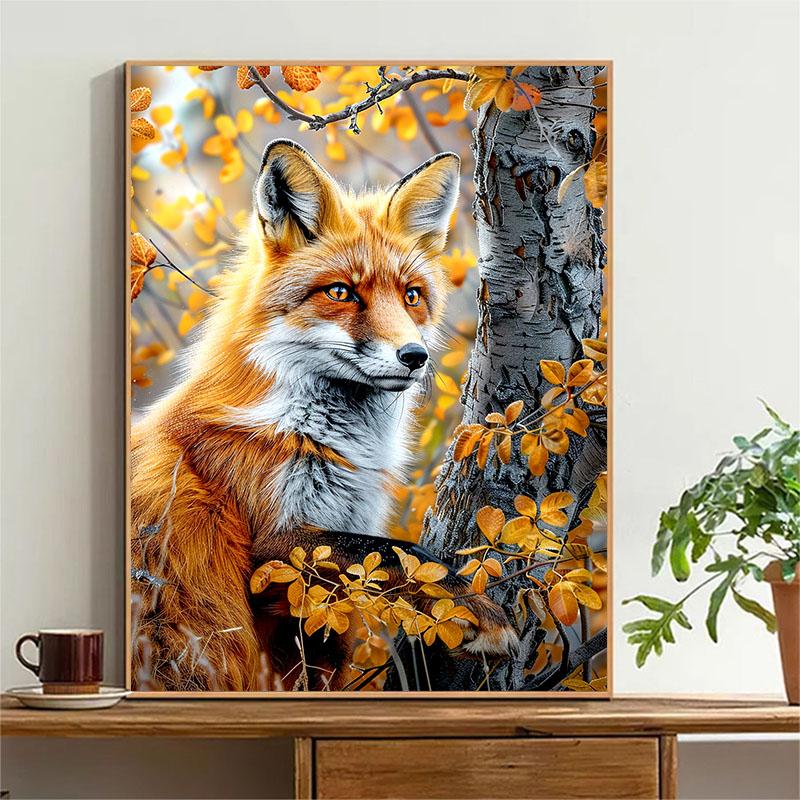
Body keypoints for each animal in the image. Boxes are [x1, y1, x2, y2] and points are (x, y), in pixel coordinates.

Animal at [130, 139, 518, 691]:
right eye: (341, 292)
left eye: (412, 295)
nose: (415, 356)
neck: (321, 441)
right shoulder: (272, 546)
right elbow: (403, 553)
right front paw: (474, 607)